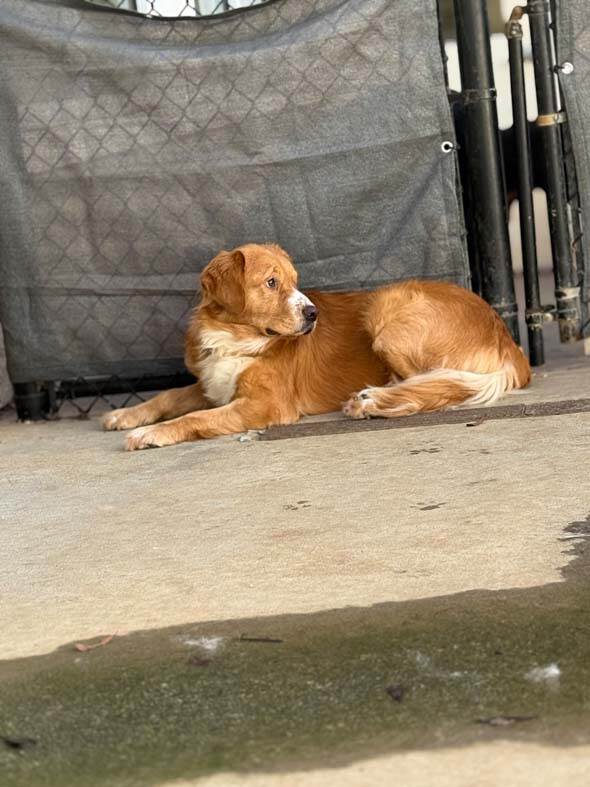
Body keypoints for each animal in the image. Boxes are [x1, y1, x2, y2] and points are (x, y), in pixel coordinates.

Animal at [103, 243, 531, 450]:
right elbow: (170, 395)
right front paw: (127, 414)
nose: (313, 314)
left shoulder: (266, 405)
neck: (236, 337)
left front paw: (150, 434)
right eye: (272, 282)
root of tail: (507, 339)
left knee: (434, 389)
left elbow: (195, 418)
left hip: (386, 308)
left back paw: (371, 401)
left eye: (295, 281)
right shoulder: (214, 385)